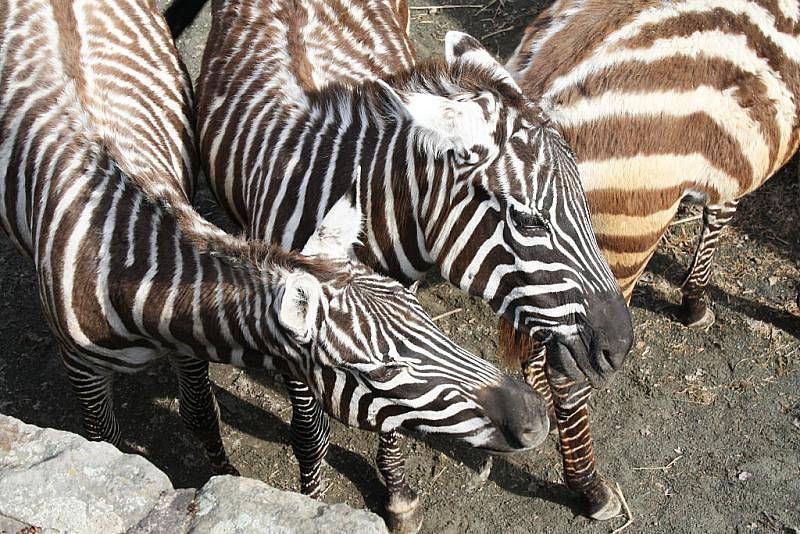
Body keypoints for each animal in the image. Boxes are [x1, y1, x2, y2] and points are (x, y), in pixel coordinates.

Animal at [0, 0, 552, 528]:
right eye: (382, 370)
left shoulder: (188, 347)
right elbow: (114, 446)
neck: (126, 262)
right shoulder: (84, 369)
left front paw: (223, 478)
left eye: (428, 321)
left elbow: (200, 412)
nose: (535, 418)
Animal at [197, 0, 636, 524]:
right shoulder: (294, 331)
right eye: (528, 221)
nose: (620, 346)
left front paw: (398, 494)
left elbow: (394, 410)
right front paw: (311, 503)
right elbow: (309, 436)